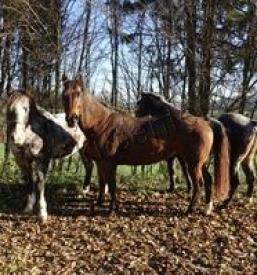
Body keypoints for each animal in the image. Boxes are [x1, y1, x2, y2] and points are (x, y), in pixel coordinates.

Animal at [6, 89, 93, 223]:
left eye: (26, 109)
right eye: (10, 108)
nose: (16, 138)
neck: (34, 132)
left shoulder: (43, 160)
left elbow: (40, 184)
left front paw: (42, 214)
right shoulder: (22, 161)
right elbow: (29, 181)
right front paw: (28, 207)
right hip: (83, 150)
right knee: (89, 166)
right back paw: (83, 191)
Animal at [61, 75, 228, 216]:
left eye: (78, 94)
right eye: (64, 95)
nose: (71, 119)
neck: (102, 124)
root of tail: (206, 122)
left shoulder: (109, 163)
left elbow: (112, 185)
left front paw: (112, 209)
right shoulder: (101, 162)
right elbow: (103, 183)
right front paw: (100, 202)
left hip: (193, 163)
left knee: (199, 184)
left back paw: (190, 210)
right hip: (200, 162)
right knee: (208, 180)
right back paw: (207, 208)